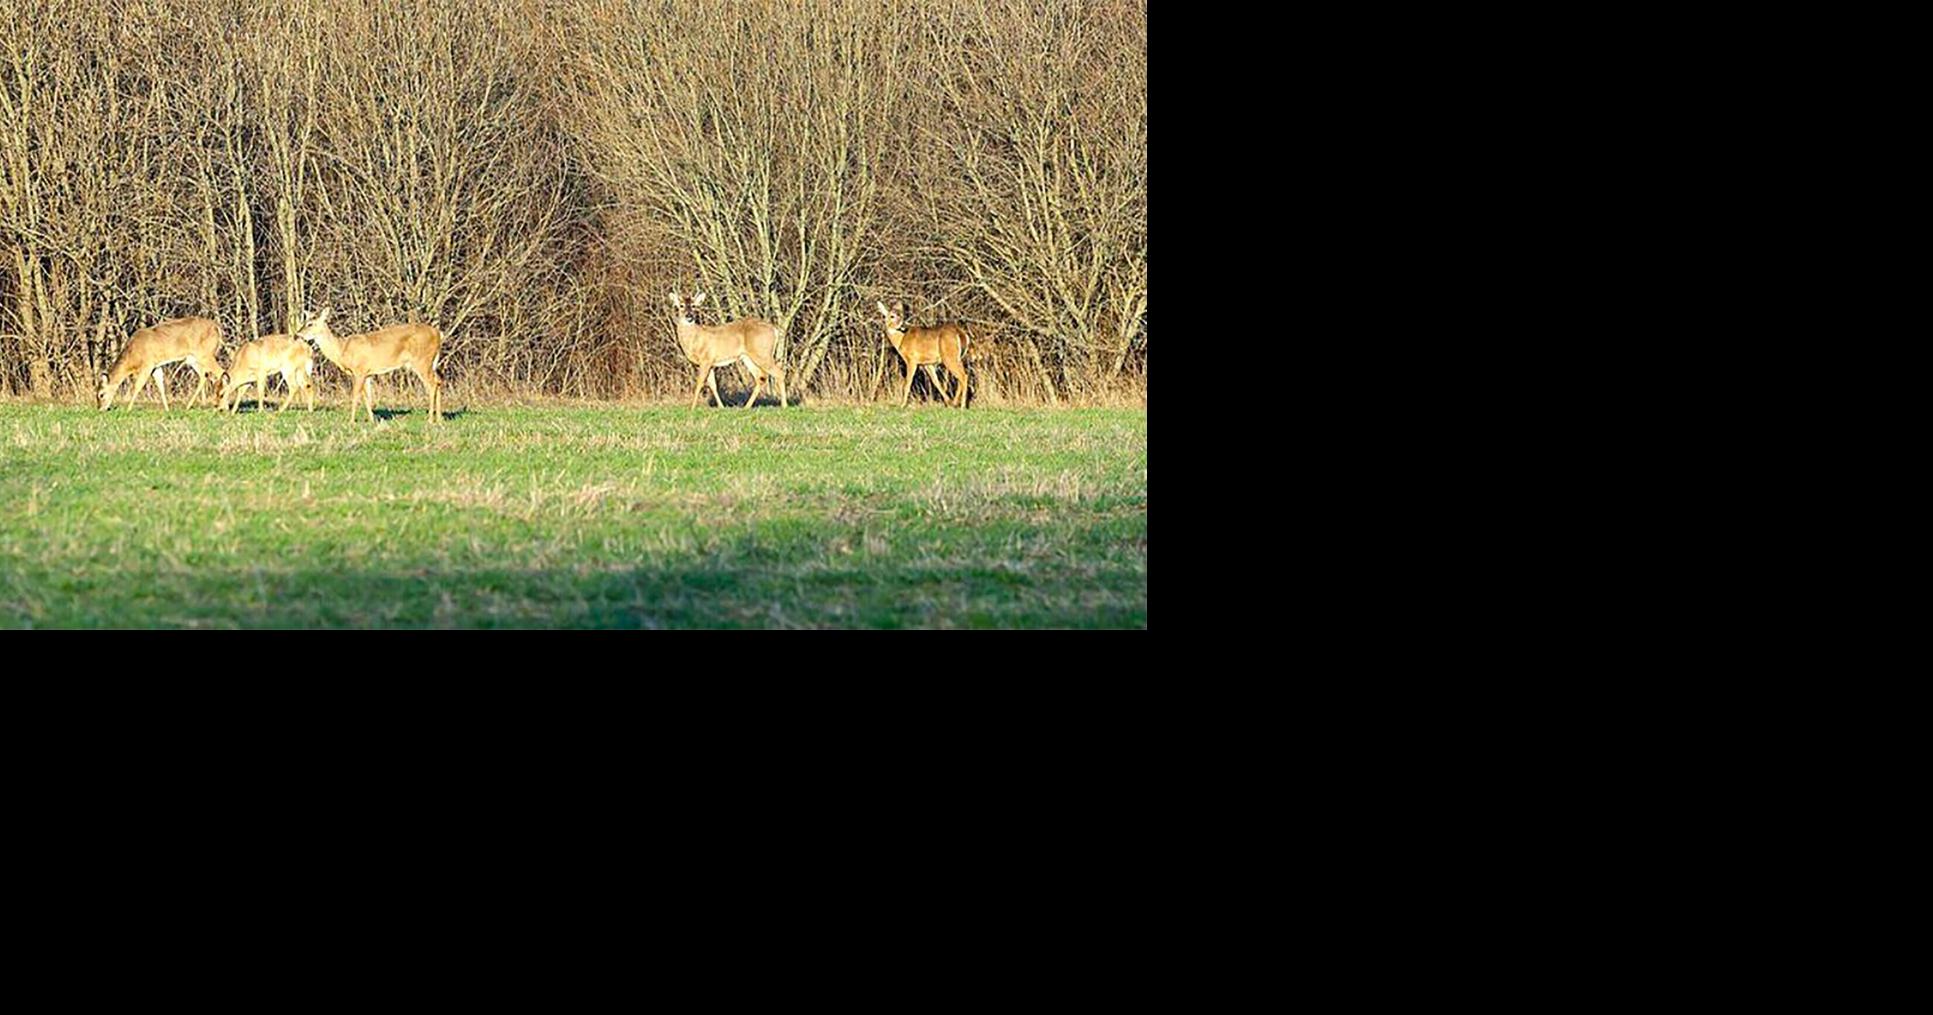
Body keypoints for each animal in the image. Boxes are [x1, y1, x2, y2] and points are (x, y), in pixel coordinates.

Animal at [98, 317, 228, 411]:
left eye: (101, 394)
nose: (100, 409)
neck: (133, 357)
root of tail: (217, 327)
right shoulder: (156, 366)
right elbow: (160, 386)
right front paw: (167, 409)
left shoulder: (147, 364)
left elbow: (137, 386)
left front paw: (128, 409)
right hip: (193, 358)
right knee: (204, 375)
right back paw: (188, 406)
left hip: (206, 354)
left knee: (221, 372)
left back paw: (223, 407)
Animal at [294, 308, 444, 423]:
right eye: (305, 322)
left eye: (310, 324)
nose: (297, 334)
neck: (342, 350)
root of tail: (438, 334)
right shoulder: (368, 373)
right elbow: (367, 397)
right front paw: (372, 420)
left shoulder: (359, 370)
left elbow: (355, 395)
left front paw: (351, 421)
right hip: (430, 363)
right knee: (439, 381)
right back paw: (439, 418)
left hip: (422, 361)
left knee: (432, 384)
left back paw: (430, 419)